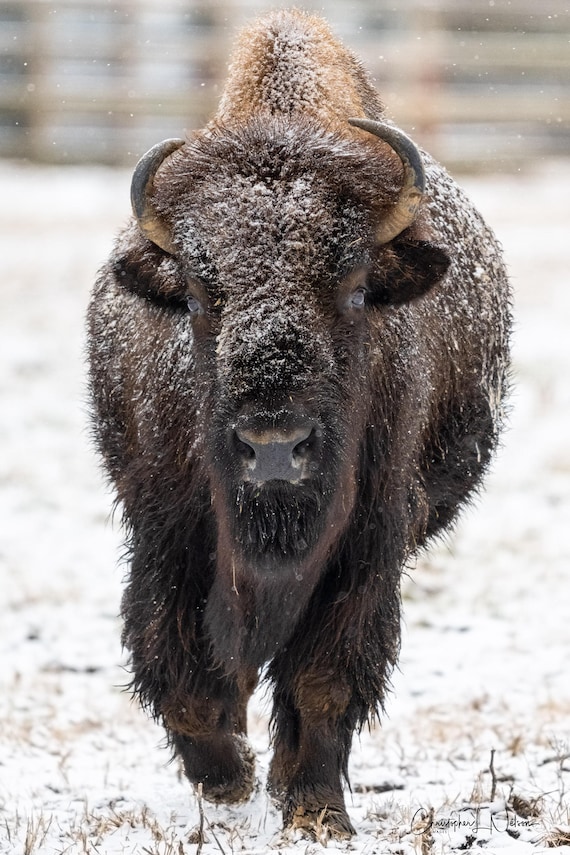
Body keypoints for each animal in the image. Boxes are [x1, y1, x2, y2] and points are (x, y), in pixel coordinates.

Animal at [87, 9, 511, 840]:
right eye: (196, 293)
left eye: (354, 286)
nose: (274, 447)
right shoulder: (170, 533)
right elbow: (183, 666)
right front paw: (228, 779)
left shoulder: (366, 544)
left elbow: (324, 677)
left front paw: (315, 809)